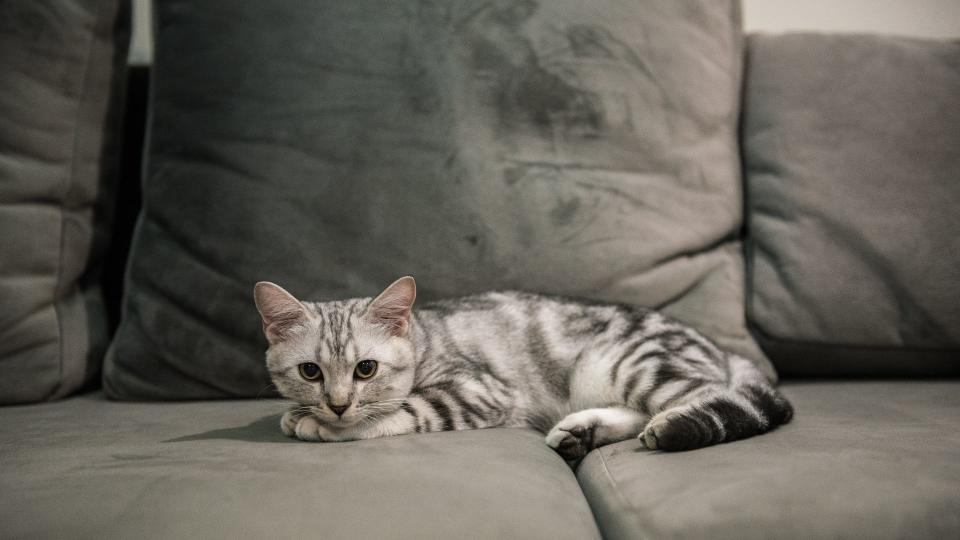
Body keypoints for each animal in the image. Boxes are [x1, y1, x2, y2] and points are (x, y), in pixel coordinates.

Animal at [251, 276, 792, 458]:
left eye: (366, 369)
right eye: (310, 372)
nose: (338, 405)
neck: (423, 338)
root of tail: (720, 347)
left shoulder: (479, 389)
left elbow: (408, 410)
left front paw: (325, 426)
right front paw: (299, 413)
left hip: (627, 360)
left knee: (723, 398)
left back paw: (675, 427)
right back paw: (582, 431)